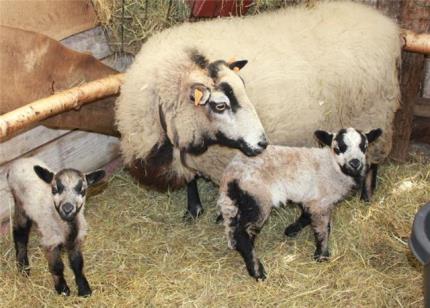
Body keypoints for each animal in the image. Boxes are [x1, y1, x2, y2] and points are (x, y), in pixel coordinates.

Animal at [6, 158, 105, 298]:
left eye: (82, 190)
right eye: (54, 189)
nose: (67, 208)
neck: (66, 227)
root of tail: (19, 161)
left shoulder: (75, 240)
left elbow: (77, 263)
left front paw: (84, 289)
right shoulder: (51, 241)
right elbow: (57, 267)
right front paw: (62, 289)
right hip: (20, 203)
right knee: (20, 232)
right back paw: (23, 267)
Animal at [116, 0, 402, 219]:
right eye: (220, 105)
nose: (264, 142)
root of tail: (385, 24)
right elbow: (190, 180)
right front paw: (194, 209)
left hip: (374, 112)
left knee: (370, 158)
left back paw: (366, 195)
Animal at [218, 127, 382, 280]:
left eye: (364, 146)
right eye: (338, 148)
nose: (355, 163)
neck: (332, 167)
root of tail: (231, 174)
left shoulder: (310, 198)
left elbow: (306, 215)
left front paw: (291, 230)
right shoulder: (320, 203)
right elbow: (323, 229)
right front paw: (321, 255)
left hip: (239, 201)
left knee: (234, 228)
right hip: (258, 199)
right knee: (243, 234)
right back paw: (257, 271)